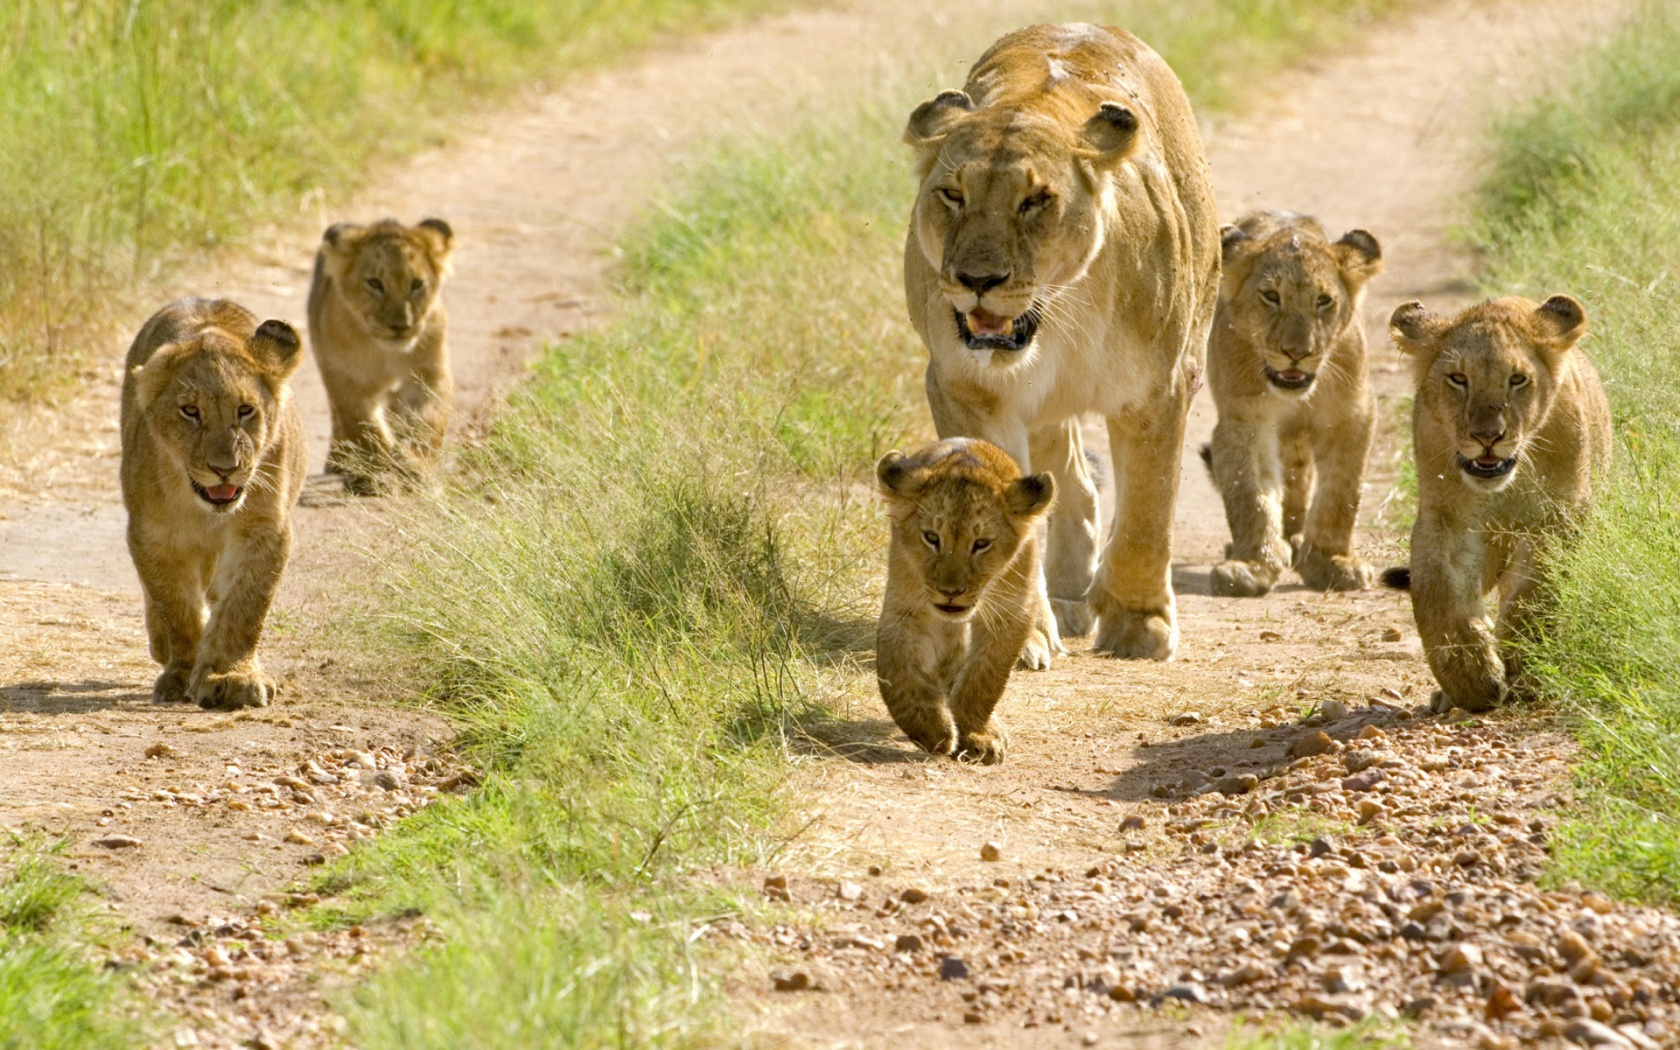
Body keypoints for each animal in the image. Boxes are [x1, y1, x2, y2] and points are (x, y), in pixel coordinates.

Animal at [907, 22, 1223, 661]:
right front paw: (1018, 635)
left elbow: (1150, 512)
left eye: (1035, 201)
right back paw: (1070, 594)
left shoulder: (1158, 392)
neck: (1058, 315)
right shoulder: (966, 389)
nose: (978, 280)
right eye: (953, 195)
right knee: (1072, 477)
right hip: (1043, 408)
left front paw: (1139, 624)